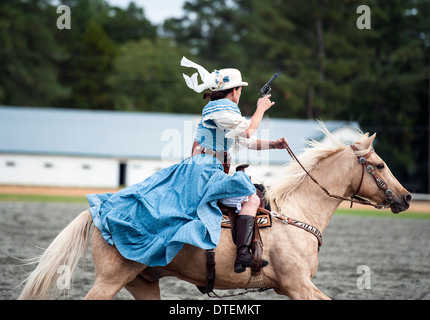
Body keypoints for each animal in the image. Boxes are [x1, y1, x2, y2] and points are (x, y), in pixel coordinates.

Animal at [18, 127, 412, 300]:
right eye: (379, 164)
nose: (407, 197)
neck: (297, 212)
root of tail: (103, 208)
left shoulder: (290, 288)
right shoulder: (298, 285)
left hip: (143, 283)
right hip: (109, 280)